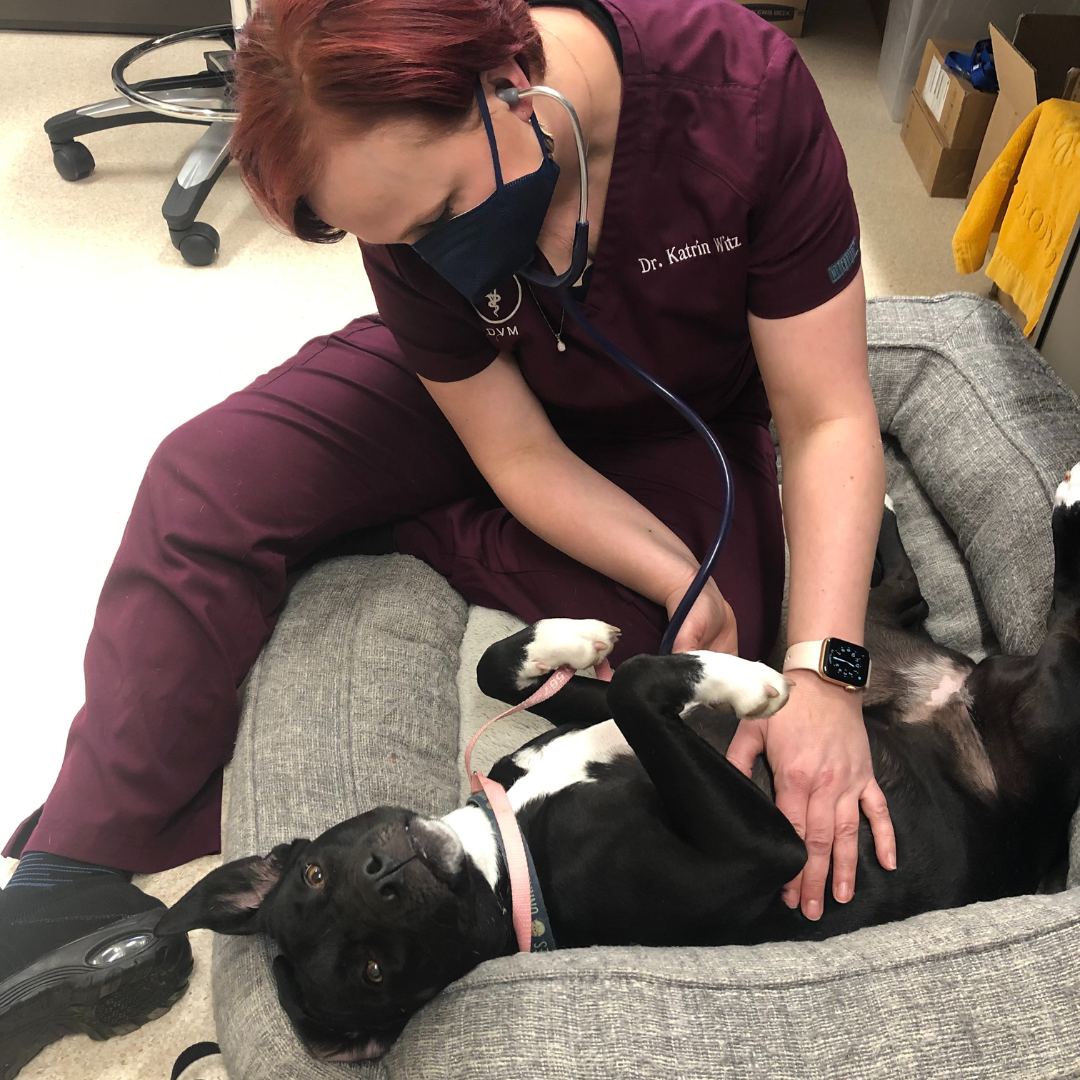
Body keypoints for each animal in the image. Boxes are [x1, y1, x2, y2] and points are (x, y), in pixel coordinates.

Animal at [157, 468, 1080, 1058]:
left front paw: (567, 641)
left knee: (890, 593)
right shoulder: (765, 849)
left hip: (859, 638)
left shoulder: (577, 724)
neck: (508, 854)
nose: (382, 873)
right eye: (373, 969)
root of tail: (960, 687)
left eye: (315, 869)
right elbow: (641, 682)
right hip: (1039, 719)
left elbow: (514, 669)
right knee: (1059, 635)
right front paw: (738, 682)